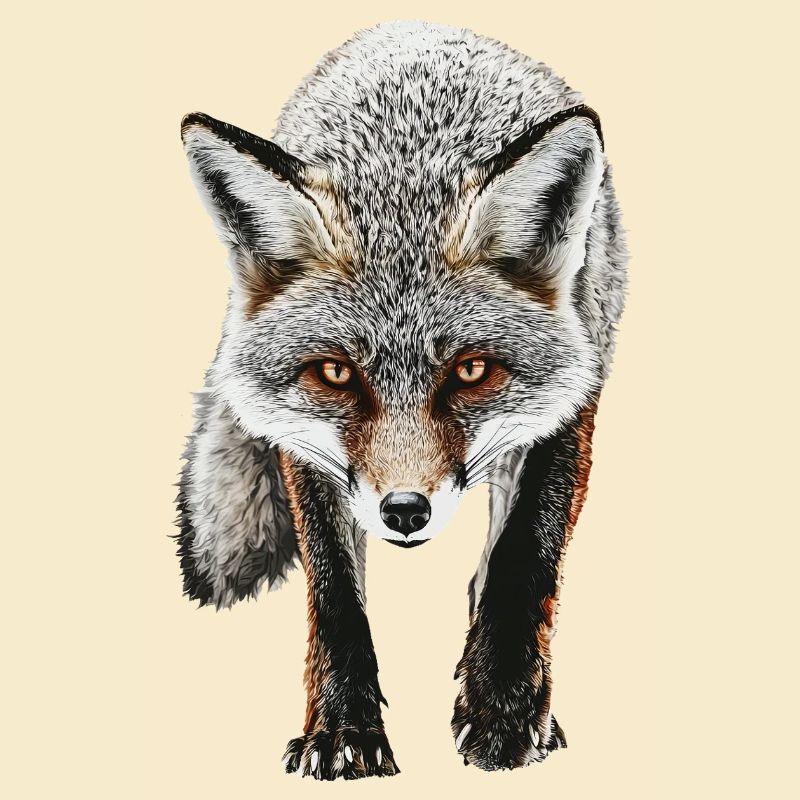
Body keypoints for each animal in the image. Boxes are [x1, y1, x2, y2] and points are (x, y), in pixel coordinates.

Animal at [175, 20, 628, 780]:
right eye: (335, 373)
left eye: (471, 370)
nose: (406, 510)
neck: (406, 163)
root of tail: (416, 28)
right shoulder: (307, 444)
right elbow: (335, 595)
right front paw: (340, 728)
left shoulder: (571, 394)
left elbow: (523, 558)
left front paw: (504, 710)